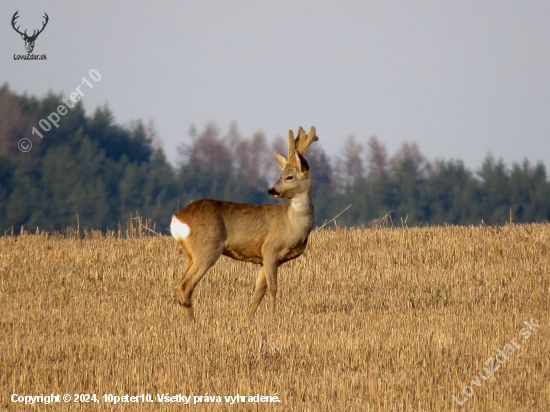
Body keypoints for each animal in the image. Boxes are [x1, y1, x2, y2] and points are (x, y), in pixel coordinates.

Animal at [171, 127, 320, 320]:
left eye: (289, 177)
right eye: (282, 175)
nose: (271, 190)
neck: (293, 224)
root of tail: (178, 217)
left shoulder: (264, 258)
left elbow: (258, 292)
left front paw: (249, 318)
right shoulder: (270, 249)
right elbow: (273, 288)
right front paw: (273, 318)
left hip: (190, 254)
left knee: (179, 284)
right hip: (207, 248)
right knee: (185, 286)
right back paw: (193, 323)